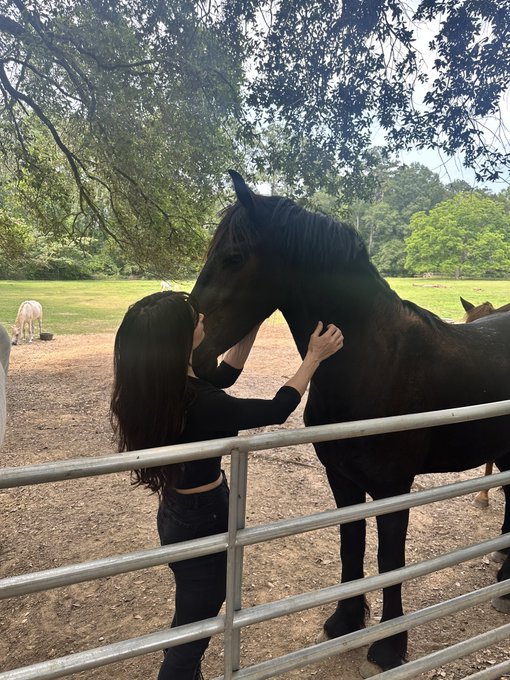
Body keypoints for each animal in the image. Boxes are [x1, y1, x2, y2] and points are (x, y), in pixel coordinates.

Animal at [191, 171, 510, 674]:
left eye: (234, 257)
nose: (196, 351)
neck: (374, 361)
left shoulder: (393, 488)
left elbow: (389, 559)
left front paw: (390, 646)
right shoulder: (342, 480)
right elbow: (351, 546)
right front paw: (345, 621)